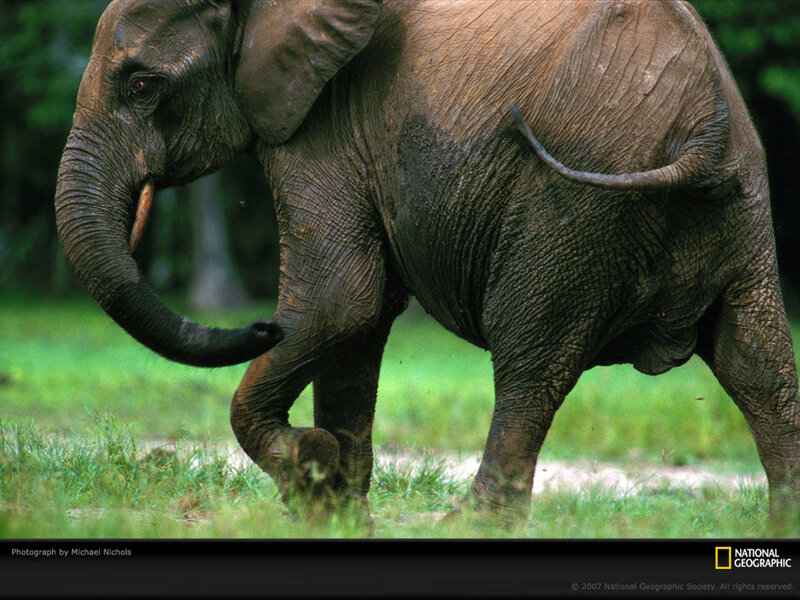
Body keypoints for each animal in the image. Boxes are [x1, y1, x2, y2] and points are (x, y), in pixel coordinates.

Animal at [55, 0, 800, 533]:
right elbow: (361, 317)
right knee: (759, 362)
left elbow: (340, 297)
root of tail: (703, 129)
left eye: (142, 83)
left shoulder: (322, 124)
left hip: (575, 204)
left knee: (530, 358)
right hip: (738, 207)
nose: (261, 326)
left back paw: (470, 525)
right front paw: (337, 515)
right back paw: (780, 526)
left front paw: (312, 471)